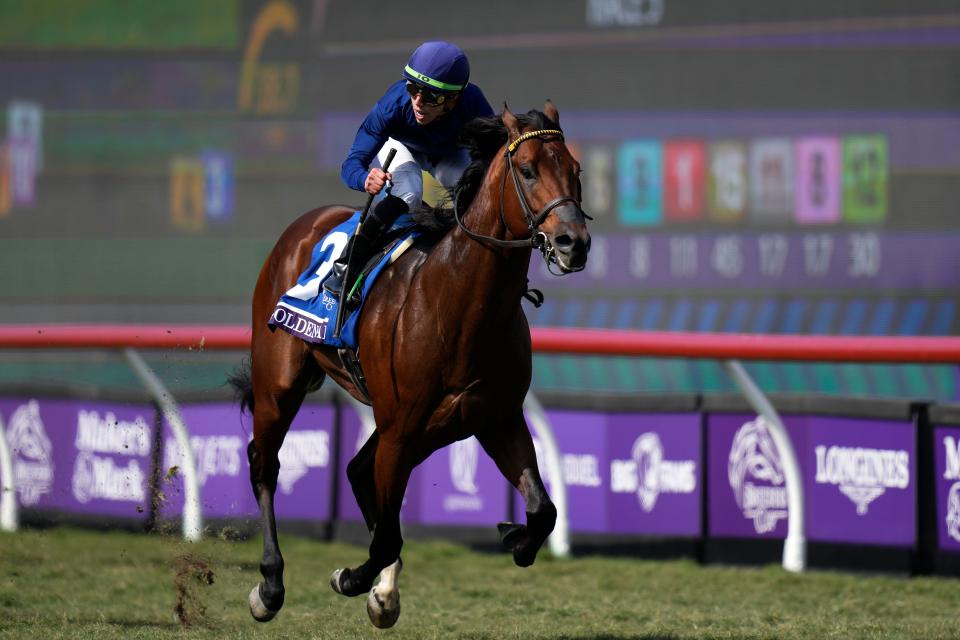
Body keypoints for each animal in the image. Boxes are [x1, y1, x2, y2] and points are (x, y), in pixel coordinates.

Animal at [232, 102, 592, 628]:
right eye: (527, 170)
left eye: (575, 170)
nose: (573, 242)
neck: (457, 303)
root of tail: (307, 224)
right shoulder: (402, 428)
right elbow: (385, 538)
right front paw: (351, 578)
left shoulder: (493, 418)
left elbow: (543, 511)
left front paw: (513, 536)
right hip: (280, 382)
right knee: (265, 462)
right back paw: (270, 585)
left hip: (421, 427)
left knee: (358, 471)